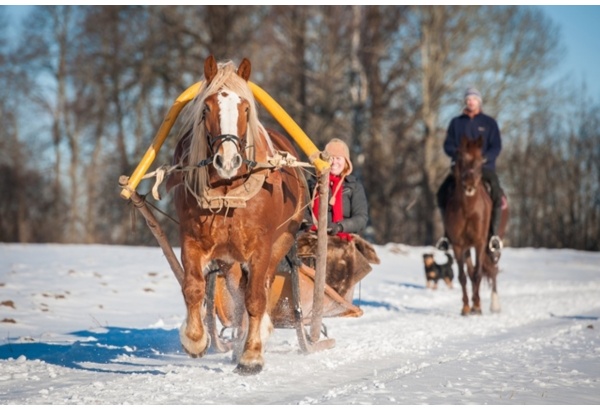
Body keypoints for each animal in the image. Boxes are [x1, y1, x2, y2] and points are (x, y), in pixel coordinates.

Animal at [166, 56, 310, 376]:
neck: (229, 191)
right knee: (235, 290)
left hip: (280, 243)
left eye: (245, 108)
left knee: (260, 287)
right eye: (206, 108)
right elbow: (193, 288)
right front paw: (195, 339)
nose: (228, 160)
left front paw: (251, 355)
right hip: (229, 258)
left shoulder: (262, 246)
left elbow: (256, 299)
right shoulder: (192, 240)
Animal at [442, 136, 508, 316]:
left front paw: (477, 307)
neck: (468, 209)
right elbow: (464, 276)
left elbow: (478, 274)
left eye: (480, 161)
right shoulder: (459, 245)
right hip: (467, 248)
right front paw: (466, 307)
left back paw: (494, 304)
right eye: (461, 159)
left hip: (493, 246)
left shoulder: (480, 243)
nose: (469, 185)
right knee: (472, 272)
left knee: (492, 270)